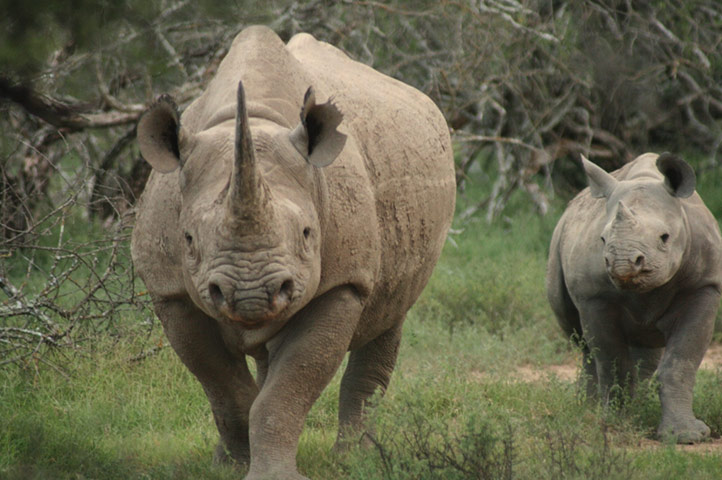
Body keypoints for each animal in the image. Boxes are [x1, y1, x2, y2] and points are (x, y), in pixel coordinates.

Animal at [131, 26, 455, 479]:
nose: (251, 295)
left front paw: (271, 473)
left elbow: (286, 389)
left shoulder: (342, 283)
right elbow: (223, 386)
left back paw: (355, 460)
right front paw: (233, 466)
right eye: (189, 240)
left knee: (390, 313)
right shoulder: (170, 289)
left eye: (307, 234)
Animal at [546, 152, 722, 443]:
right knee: (582, 341)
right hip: (557, 246)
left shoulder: (704, 286)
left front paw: (686, 436)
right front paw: (613, 423)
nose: (622, 263)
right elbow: (612, 361)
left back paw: (636, 407)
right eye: (602, 239)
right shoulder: (595, 297)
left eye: (664, 237)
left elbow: (680, 363)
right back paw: (589, 409)